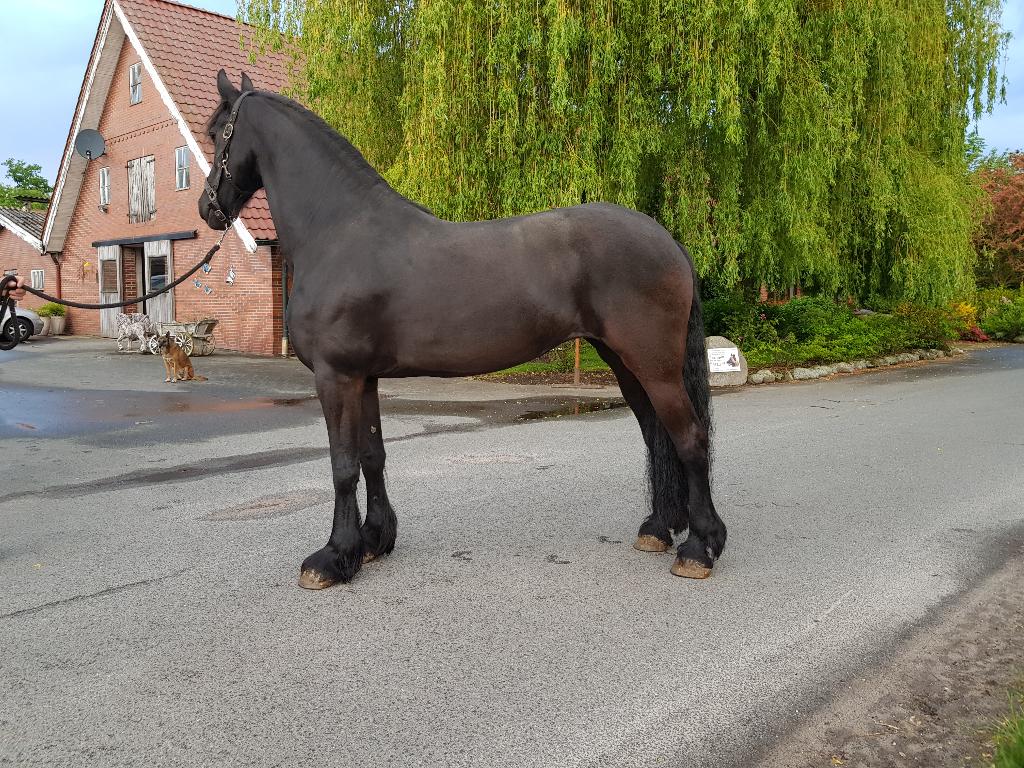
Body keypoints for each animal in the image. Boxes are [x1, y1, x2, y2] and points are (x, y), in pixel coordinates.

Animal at [199, 70, 727, 590]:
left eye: (216, 133)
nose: (208, 208)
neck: (339, 233)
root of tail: (667, 240)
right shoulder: (363, 378)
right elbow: (372, 455)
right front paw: (373, 542)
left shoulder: (336, 376)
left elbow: (343, 464)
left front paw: (334, 556)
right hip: (626, 364)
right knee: (656, 436)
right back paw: (659, 529)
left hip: (653, 366)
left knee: (690, 439)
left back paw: (700, 548)